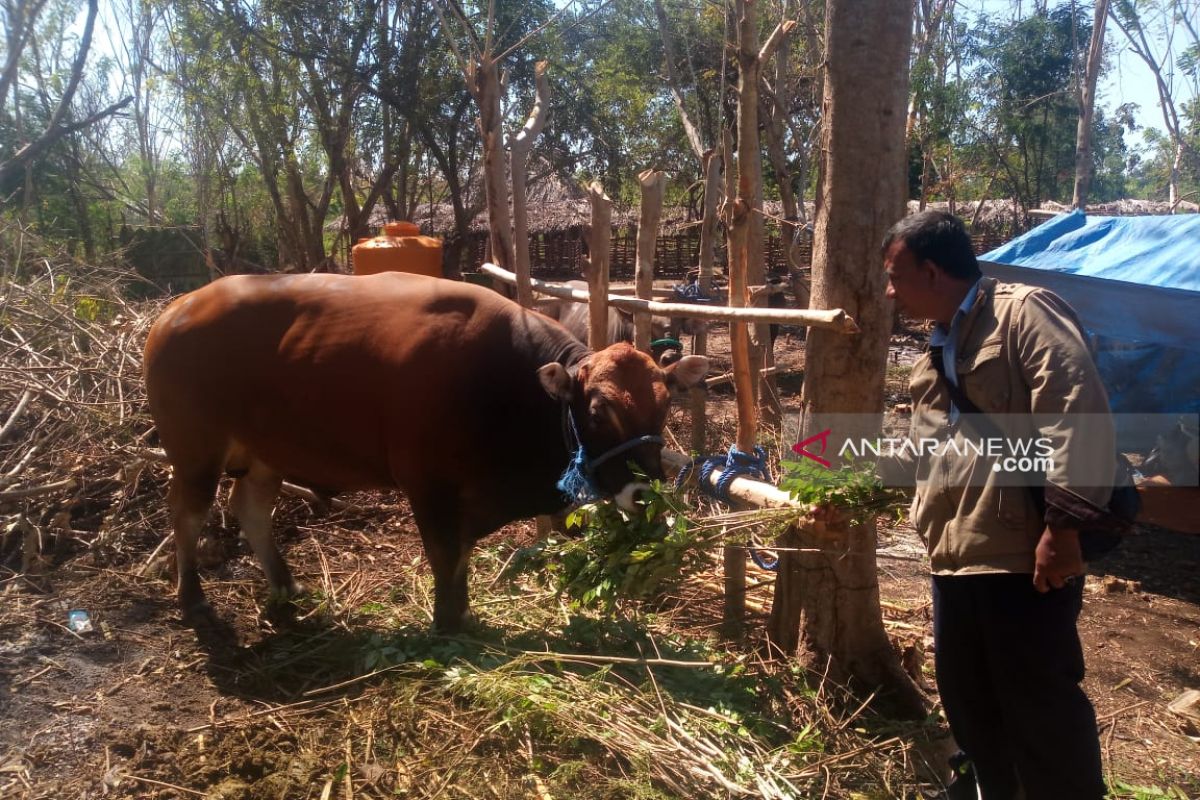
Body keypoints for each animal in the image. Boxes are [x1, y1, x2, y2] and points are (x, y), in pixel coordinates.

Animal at [144, 275, 705, 633]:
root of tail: (177, 309)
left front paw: (462, 614)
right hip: (195, 455)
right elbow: (445, 554)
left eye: (664, 404)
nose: (646, 494)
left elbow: (461, 555)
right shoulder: (428, 486)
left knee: (251, 510)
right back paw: (193, 599)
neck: (501, 387)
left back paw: (284, 587)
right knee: (186, 516)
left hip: (266, 455)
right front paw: (447, 621)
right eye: (599, 410)